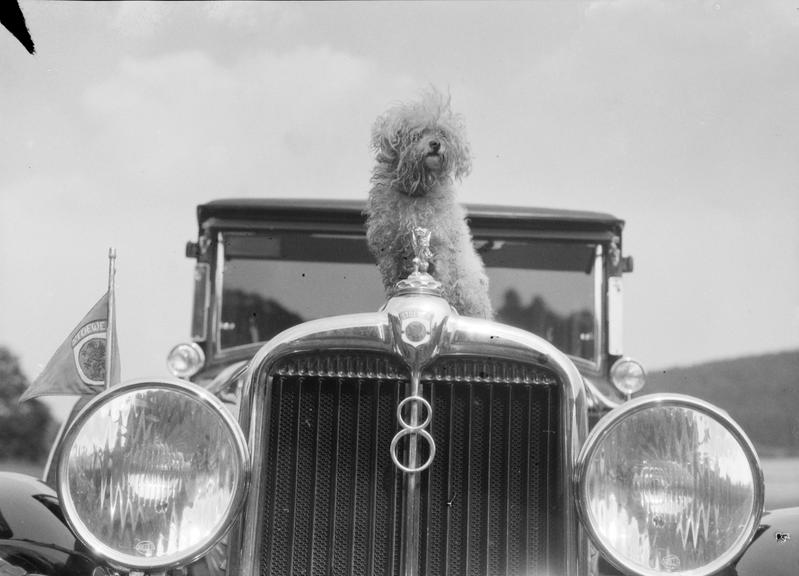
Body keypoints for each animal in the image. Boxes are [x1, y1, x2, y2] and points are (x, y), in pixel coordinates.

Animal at [364, 89, 494, 320]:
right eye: (418, 133)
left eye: (442, 133)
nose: (435, 144)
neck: (416, 193)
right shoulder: (389, 250)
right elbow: (391, 281)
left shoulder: (441, 245)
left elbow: (442, 277)